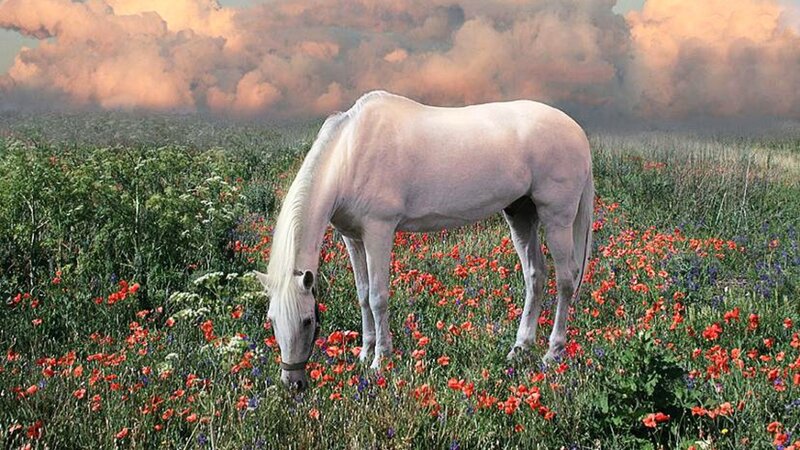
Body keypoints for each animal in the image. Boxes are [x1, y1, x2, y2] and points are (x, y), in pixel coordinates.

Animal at [255, 91, 593, 391]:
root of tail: (577, 132)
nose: (293, 382)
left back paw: (552, 353)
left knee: (565, 280)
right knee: (535, 276)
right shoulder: (352, 237)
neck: (349, 154)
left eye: (307, 321)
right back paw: (519, 348)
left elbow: (378, 297)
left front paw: (380, 362)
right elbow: (362, 295)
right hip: (521, 214)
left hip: (556, 218)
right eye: (272, 320)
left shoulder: (378, 230)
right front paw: (364, 354)